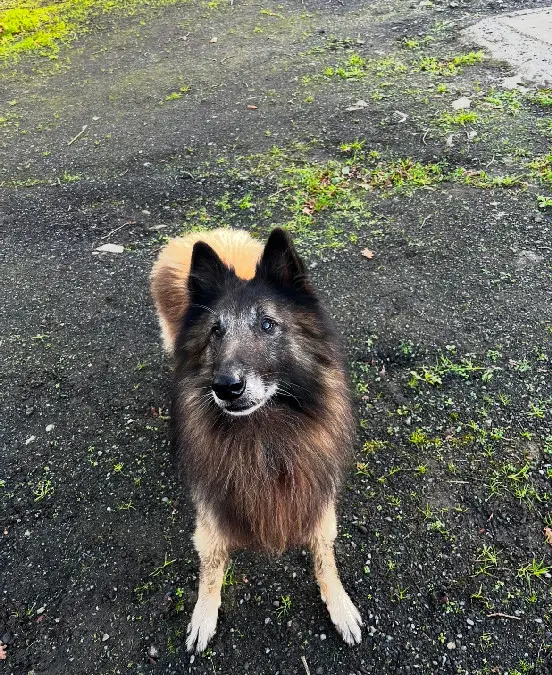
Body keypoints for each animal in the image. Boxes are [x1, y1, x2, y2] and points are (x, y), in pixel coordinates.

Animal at [150, 228, 362, 656]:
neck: (264, 433)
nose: (226, 387)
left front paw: (340, 604)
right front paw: (204, 614)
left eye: (267, 324)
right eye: (216, 331)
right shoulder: (211, 509)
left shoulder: (318, 496)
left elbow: (324, 557)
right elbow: (211, 566)